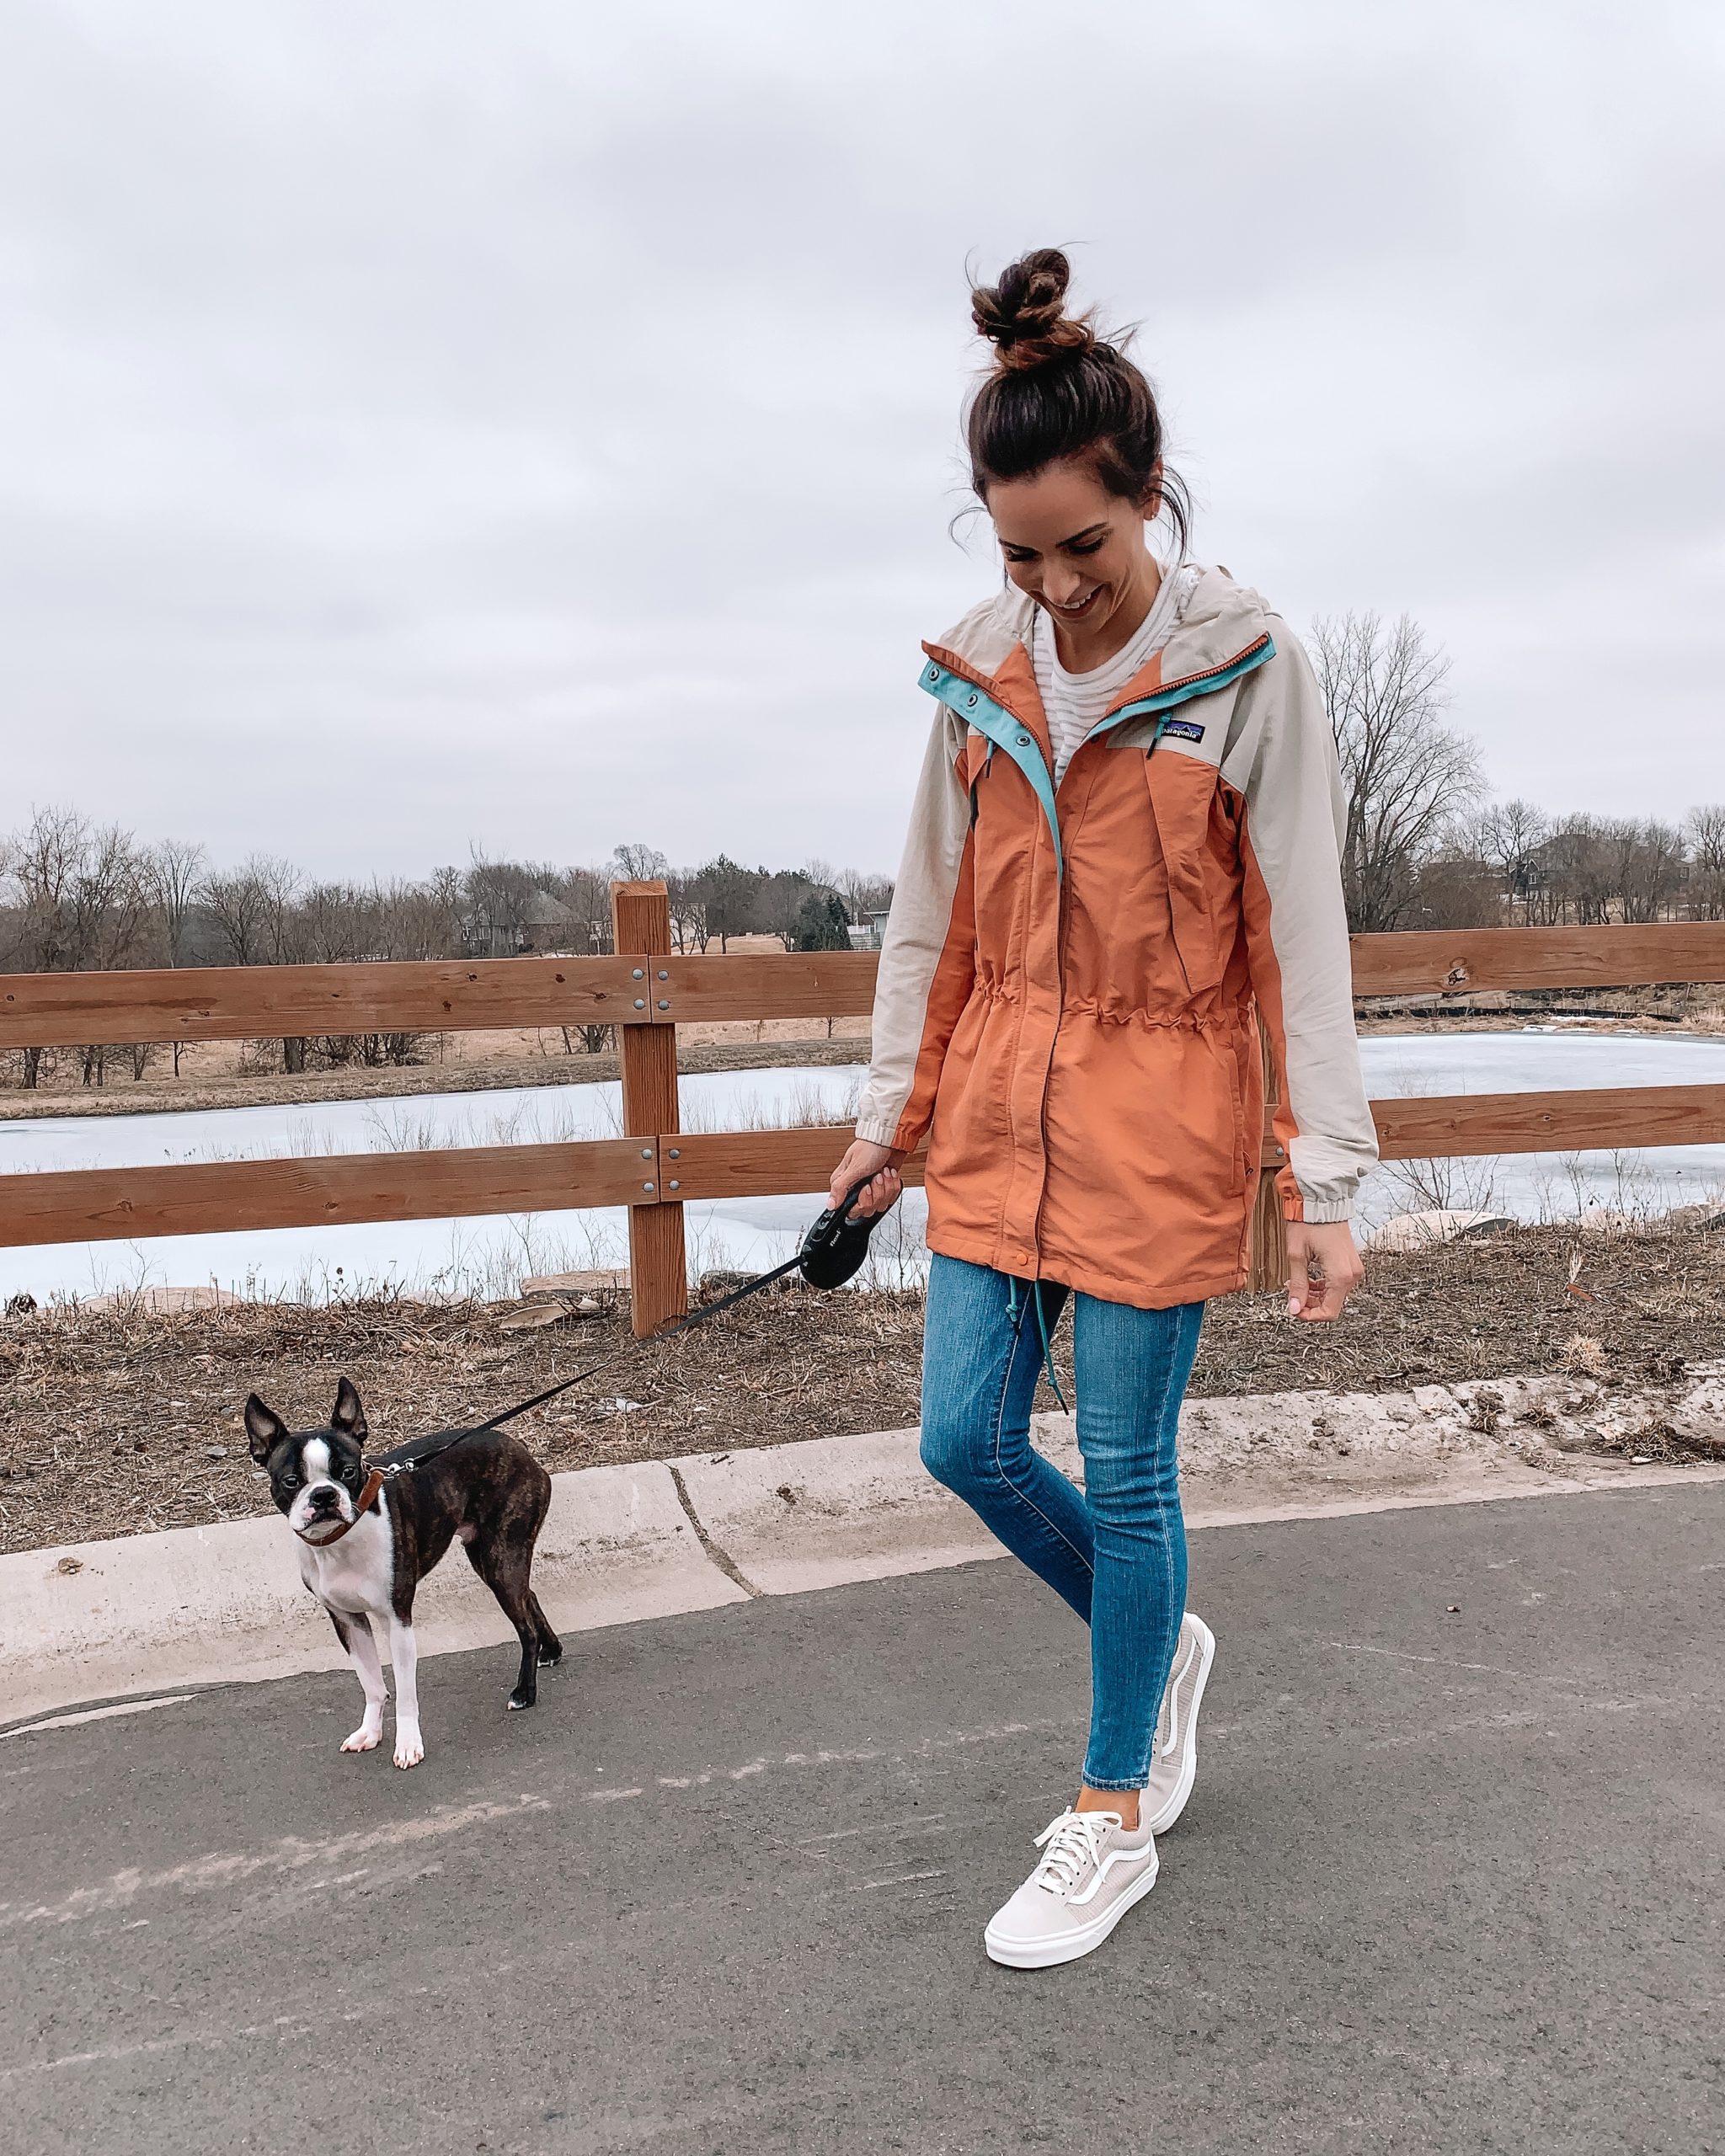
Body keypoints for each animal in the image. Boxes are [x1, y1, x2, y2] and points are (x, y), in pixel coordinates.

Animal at [245, 1380, 560, 1768]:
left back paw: (525, 1691)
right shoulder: (347, 1620)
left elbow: (405, 1691)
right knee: (529, 1595)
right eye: (291, 1480)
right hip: (491, 1558)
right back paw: (551, 1650)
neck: (342, 1540)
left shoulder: (397, 1619)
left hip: (501, 1558)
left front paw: (409, 1744)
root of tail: (523, 1452)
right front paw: (370, 1732)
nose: (323, 1495)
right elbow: (372, 1684)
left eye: (348, 1471)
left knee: (524, 1625)